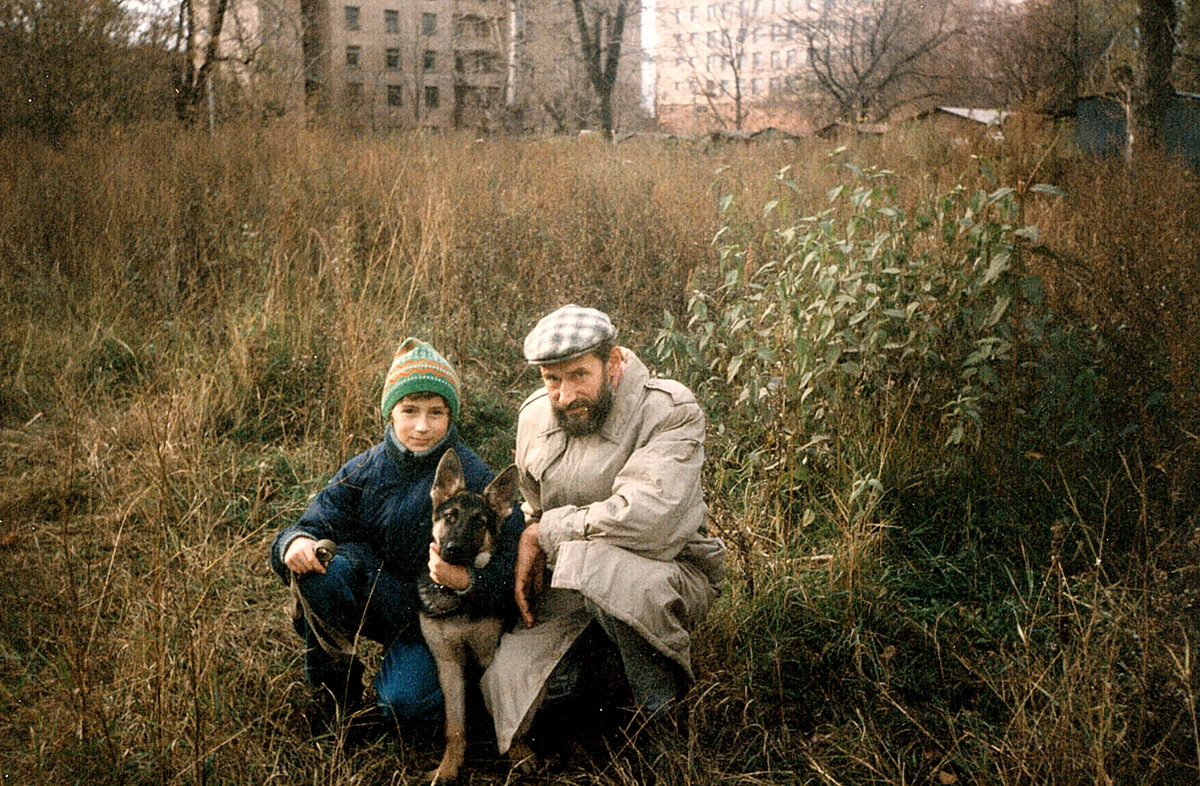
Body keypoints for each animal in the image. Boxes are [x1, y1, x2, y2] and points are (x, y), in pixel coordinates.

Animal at [420, 451, 518, 782]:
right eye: (451, 516)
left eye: (480, 522)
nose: (453, 550)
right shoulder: (447, 663)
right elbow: (454, 726)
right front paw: (449, 767)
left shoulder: (491, 656)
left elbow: (505, 709)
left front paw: (520, 753)